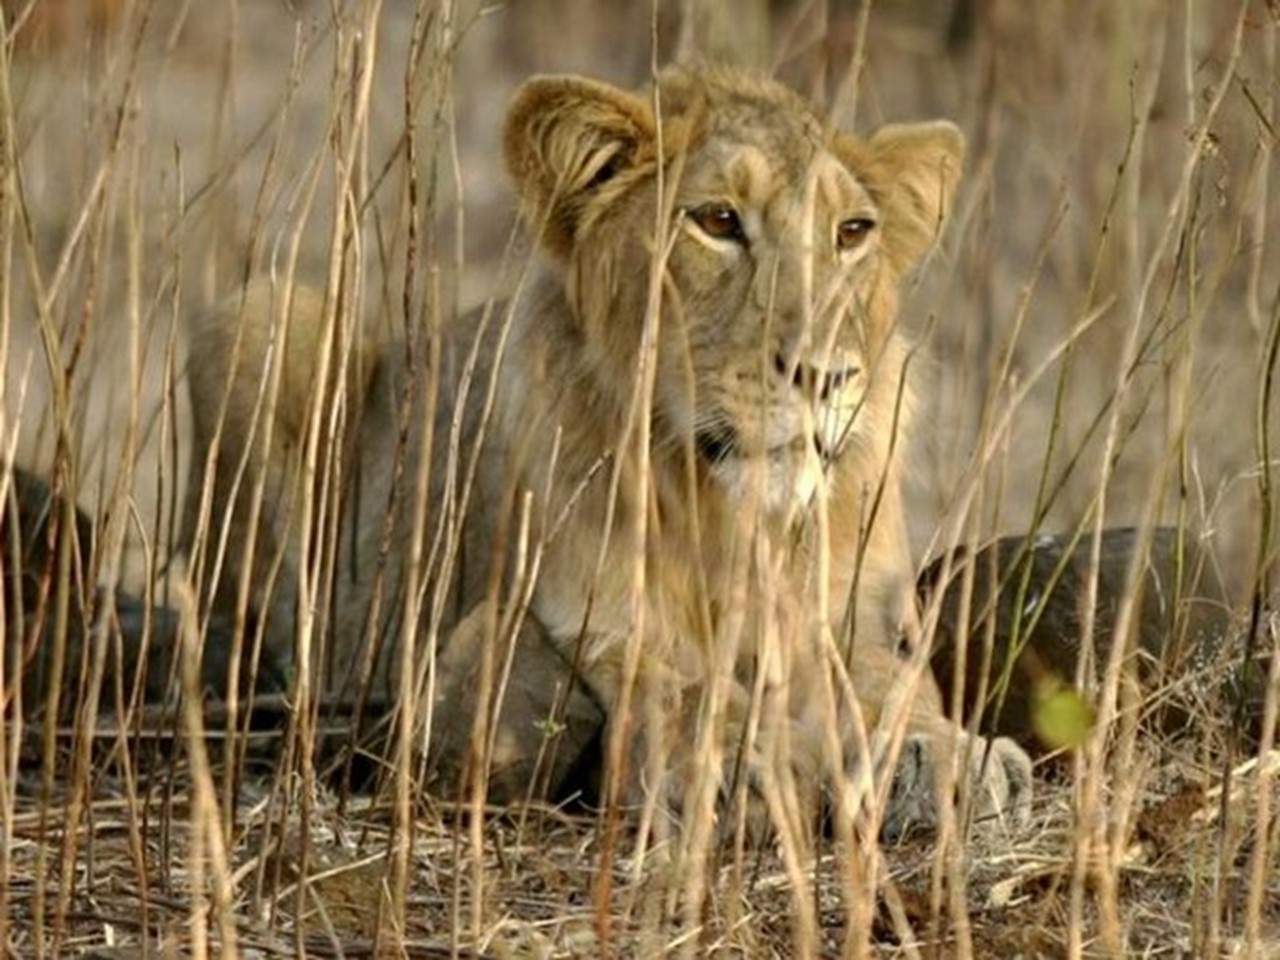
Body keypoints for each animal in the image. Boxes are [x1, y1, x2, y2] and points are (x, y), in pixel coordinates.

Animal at [185, 67, 1034, 839]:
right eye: (717, 220)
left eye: (852, 232)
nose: (826, 375)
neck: (730, 514)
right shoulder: (597, 616)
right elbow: (684, 687)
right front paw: (745, 759)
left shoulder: (856, 609)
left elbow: (891, 681)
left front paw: (947, 758)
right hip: (258, 316)